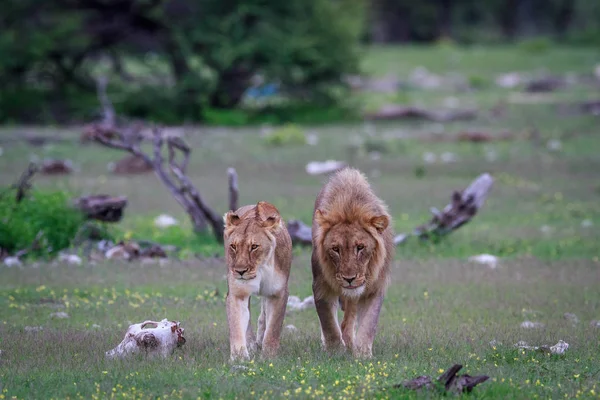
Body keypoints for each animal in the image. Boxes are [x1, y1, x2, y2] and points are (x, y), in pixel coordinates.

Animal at [224, 202, 292, 360]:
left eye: (254, 247)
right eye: (233, 246)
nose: (240, 271)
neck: (260, 269)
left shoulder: (278, 293)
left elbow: (273, 328)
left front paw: (268, 356)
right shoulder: (237, 293)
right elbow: (237, 324)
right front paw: (239, 356)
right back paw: (251, 344)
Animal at [310, 167, 394, 358]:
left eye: (360, 247)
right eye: (335, 249)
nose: (349, 279)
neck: (349, 207)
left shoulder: (375, 286)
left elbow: (369, 324)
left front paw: (362, 355)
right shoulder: (321, 285)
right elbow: (328, 322)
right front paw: (334, 352)